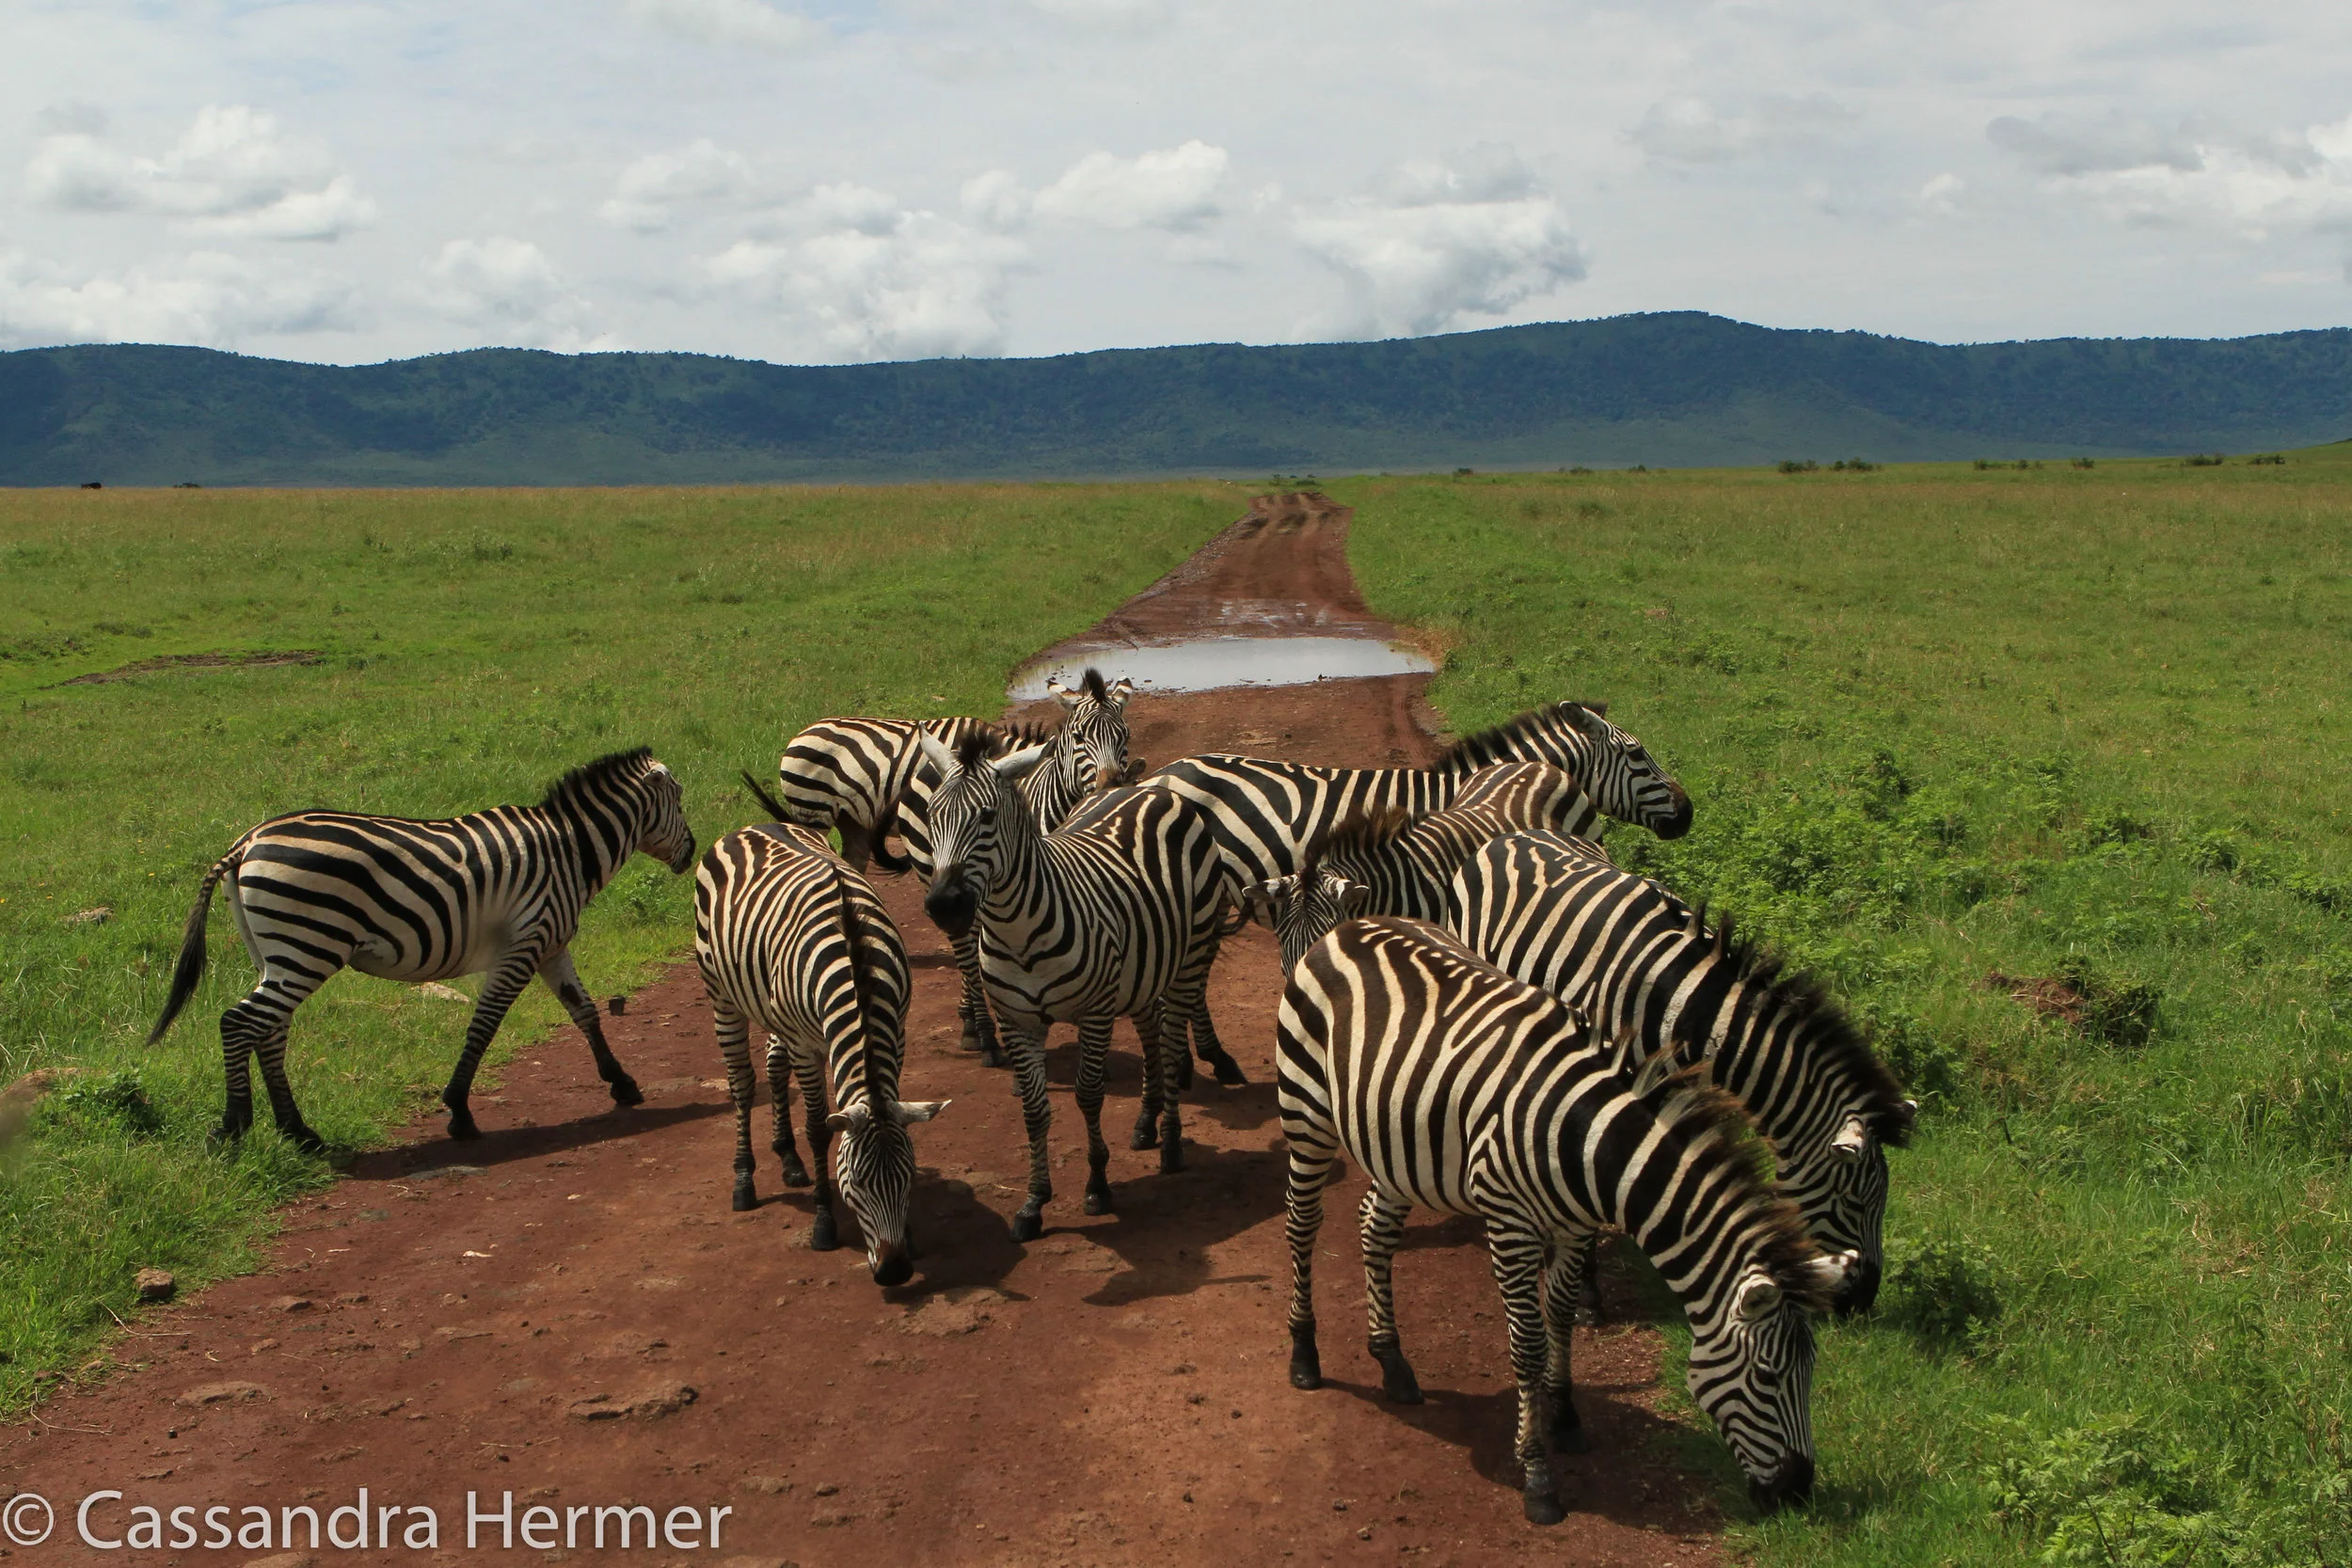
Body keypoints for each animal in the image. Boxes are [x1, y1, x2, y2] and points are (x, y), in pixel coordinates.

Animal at [145, 748, 695, 1151]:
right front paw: (459, 1111)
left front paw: (621, 1082)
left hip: (277, 953)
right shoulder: (523, 944)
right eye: (681, 799)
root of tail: (247, 842)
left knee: (269, 1029)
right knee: (239, 1022)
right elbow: (485, 1024)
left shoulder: (551, 944)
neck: (570, 851)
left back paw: (299, 1133)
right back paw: (234, 1127)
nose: (691, 852)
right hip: (308, 946)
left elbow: (585, 1011)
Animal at [694, 793, 945, 1286]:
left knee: (773, 1064)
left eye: (908, 1177)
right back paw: (744, 1181)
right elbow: (817, 1128)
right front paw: (824, 1223)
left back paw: (789, 1159)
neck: (856, 966)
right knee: (742, 1084)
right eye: (856, 1183)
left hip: (773, 1006)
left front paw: (908, 1235)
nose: (894, 1272)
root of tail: (753, 826)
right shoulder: (807, 1046)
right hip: (722, 996)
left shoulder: (898, 1032)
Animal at [776, 670, 1136, 1065]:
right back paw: (980, 1033)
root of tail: (807, 730)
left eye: (1125, 736)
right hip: (825, 819)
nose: (1109, 786)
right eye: (1079, 737)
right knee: (963, 949)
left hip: (855, 826)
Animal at [916, 729, 1224, 1241]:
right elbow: (1035, 1110)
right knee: (1151, 1032)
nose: (944, 905)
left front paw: (1097, 1185)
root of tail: (1143, 787)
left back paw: (1171, 1144)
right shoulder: (1018, 1023)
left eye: (987, 817)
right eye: (932, 816)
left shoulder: (1095, 1013)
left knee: (1170, 1041)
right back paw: (1147, 1122)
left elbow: (1088, 1094)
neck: (1018, 933)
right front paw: (1033, 1203)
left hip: (1192, 957)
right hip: (1142, 966)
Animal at [1277, 916, 1839, 1523]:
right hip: (1306, 1111)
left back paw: (1393, 1362)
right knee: (1302, 1225)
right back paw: (1305, 1355)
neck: (1589, 1141)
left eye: (1813, 1372)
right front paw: (1538, 1474)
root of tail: (1355, 924)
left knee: (1373, 1229)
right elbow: (1527, 1343)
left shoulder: (1576, 1228)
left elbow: (1563, 1318)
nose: (1798, 1490)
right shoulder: (1509, 1223)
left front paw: (1566, 1415)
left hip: (1398, 1144)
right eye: (1767, 1376)